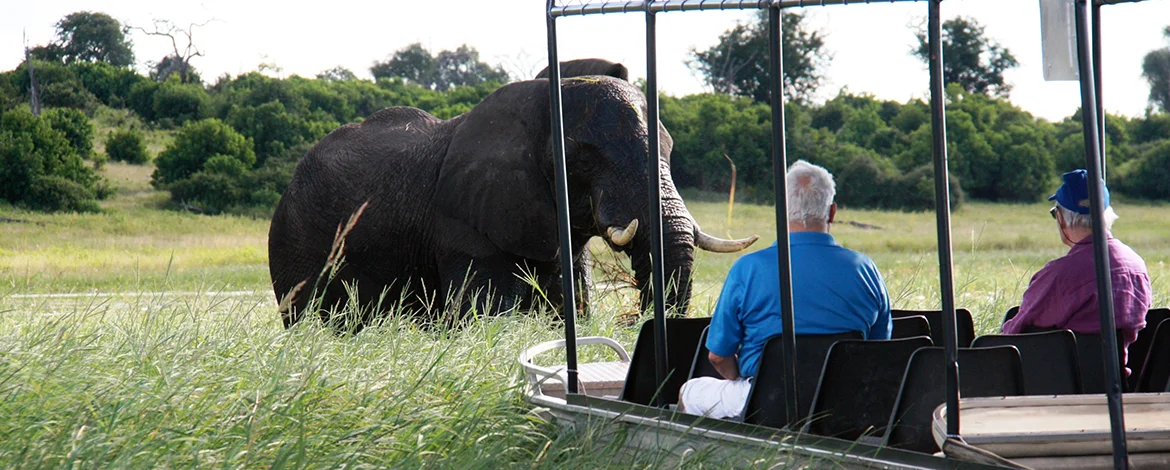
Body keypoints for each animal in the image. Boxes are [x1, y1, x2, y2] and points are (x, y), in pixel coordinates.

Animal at [268, 64, 757, 331]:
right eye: (584, 157)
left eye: (670, 149)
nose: (632, 321)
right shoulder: (463, 224)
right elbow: (485, 314)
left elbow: (569, 304)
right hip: (295, 244)